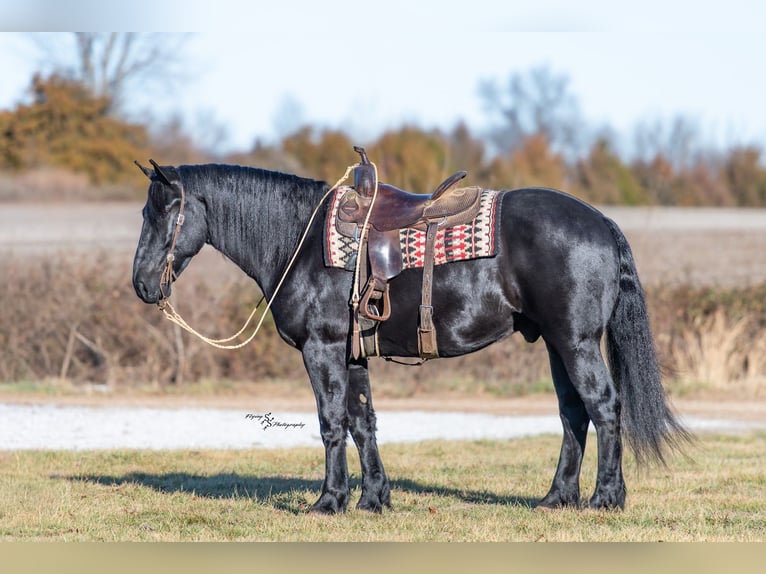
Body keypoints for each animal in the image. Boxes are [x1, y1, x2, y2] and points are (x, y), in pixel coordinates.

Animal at [131, 159, 688, 514]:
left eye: (163, 211)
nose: (141, 284)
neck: (300, 239)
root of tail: (600, 220)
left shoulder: (322, 349)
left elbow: (332, 422)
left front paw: (329, 501)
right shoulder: (352, 354)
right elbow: (363, 422)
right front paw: (373, 499)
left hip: (576, 341)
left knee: (604, 407)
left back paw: (605, 498)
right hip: (557, 343)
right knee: (574, 413)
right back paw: (557, 498)